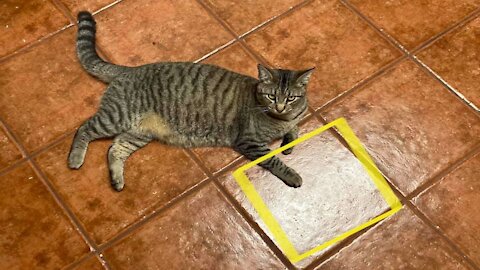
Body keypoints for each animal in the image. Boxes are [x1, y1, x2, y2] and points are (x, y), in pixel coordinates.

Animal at [68, 11, 316, 192]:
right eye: (271, 96)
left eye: (290, 97)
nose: (280, 106)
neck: (279, 118)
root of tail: (130, 70)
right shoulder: (250, 142)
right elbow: (274, 160)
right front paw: (292, 174)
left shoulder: (293, 117)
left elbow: (295, 128)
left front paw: (289, 141)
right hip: (116, 117)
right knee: (84, 128)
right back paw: (75, 158)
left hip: (139, 133)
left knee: (115, 148)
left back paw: (117, 180)